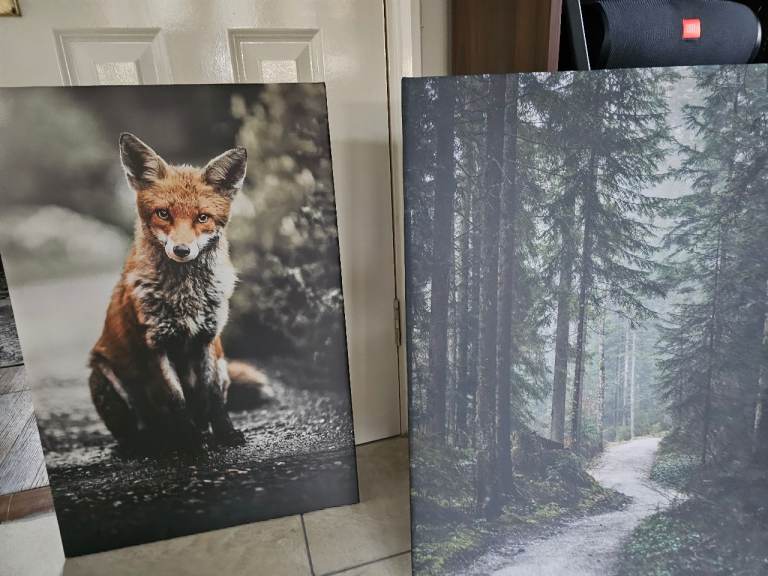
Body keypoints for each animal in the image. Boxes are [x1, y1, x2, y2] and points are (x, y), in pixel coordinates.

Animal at [89, 133, 272, 452]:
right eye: (163, 213)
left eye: (202, 218)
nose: (182, 250)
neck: (186, 297)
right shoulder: (156, 345)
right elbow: (176, 399)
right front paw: (191, 443)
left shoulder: (207, 339)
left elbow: (212, 398)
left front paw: (224, 434)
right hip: (102, 376)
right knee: (137, 430)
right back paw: (148, 444)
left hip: (223, 364)